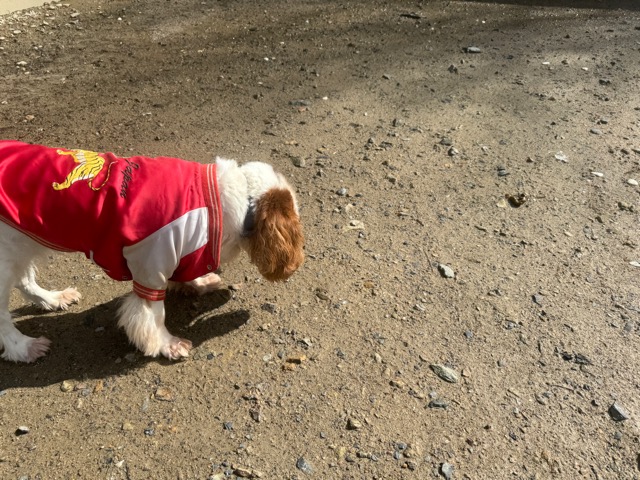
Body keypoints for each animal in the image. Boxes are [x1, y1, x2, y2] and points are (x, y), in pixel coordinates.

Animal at [0, 140, 304, 362]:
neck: (216, 199)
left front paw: (197, 283)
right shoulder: (152, 263)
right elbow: (152, 315)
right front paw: (167, 344)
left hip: (21, 244)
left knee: (25, 280)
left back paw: (52, 299)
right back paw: (23, 347)